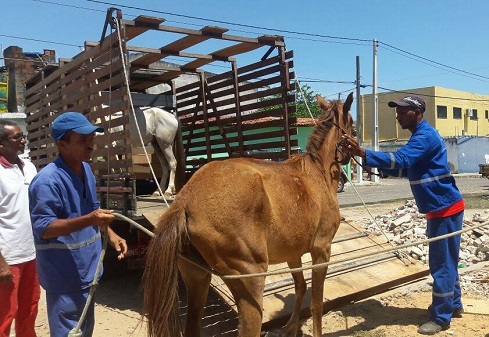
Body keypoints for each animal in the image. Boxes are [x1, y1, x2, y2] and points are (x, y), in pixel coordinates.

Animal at [143, 92, 352, 336]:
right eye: (352, 123)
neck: (317, 172)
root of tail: (185, 200)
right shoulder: (322, 250)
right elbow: (317, 304)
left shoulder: (293, 253)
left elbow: (300, 287)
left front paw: (291, 326)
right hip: (251, 279)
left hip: (197, 278)